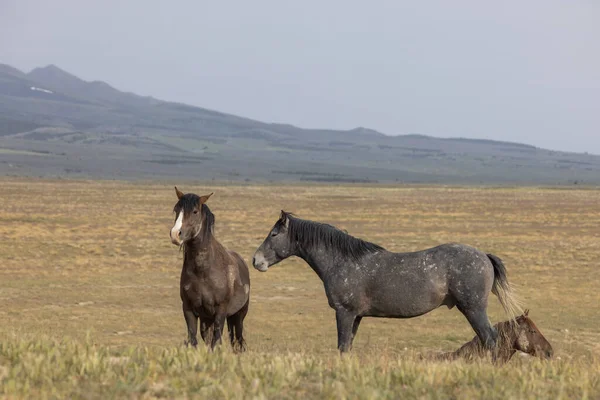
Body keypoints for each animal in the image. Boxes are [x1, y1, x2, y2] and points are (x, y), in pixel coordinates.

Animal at [170, 187, 250, 350]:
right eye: (176, 209)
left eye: (195, 211)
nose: (175, 234)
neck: (203, 272)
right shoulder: (189, 309)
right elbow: (193, 340)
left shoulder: (221, 311)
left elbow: (216, 341)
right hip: (207, 320)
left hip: (238, 316)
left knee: (238, 341)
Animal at [253, 211, 520, 358]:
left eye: (274, 234)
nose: (256, 261)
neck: (342, 260)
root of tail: (484, 256)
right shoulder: (356, 316)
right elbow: (347, 346)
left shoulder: (344, 312)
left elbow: (342, 346)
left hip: (474, 309)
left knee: (491, 339)